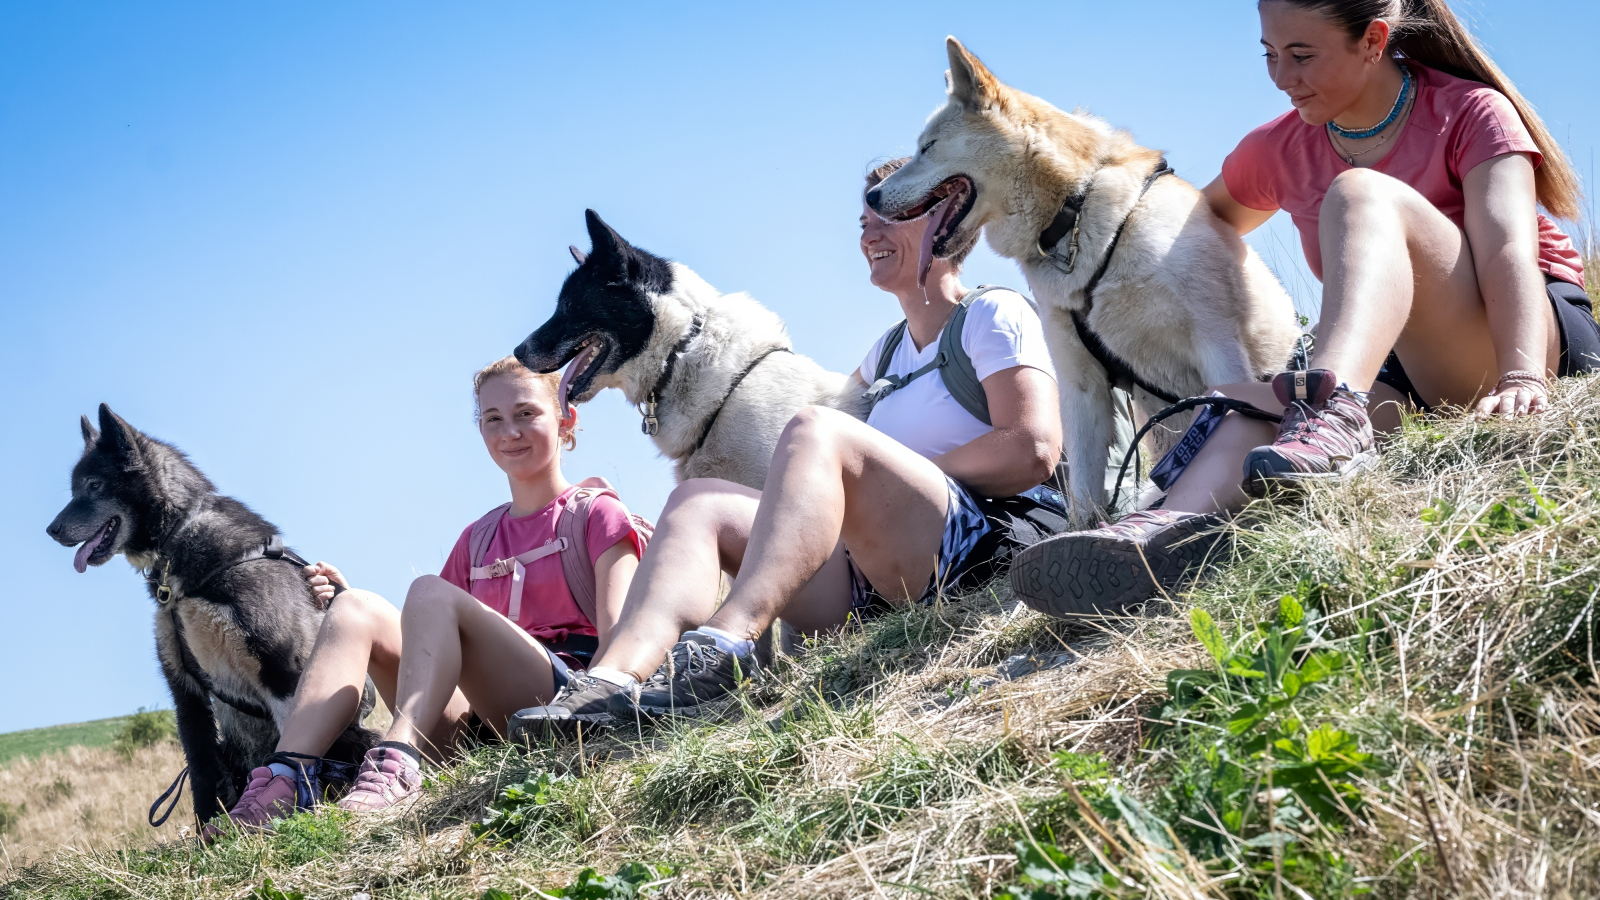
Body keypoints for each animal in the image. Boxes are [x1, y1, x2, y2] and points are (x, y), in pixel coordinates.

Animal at [45, 405, 376, 819]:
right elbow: (201, 771)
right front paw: (209, 832)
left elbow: (296, 752)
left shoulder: (284, 669)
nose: (51, 529)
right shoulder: (185, 691)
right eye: (75, 490)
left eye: (94, 486)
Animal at [864, 38, 1299, 515]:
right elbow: (1084, 502)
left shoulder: (1218, 345)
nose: (870, 196)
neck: (1074, 213)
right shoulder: (1081, 384)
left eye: (927, 147)